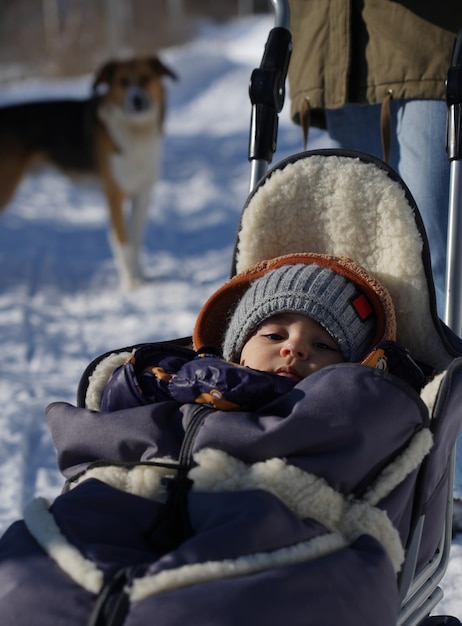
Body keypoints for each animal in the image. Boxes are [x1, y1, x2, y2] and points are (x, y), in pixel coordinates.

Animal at [0, 56, 177, 288]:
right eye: (122, 82)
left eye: (146, 78)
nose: (137, 100)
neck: (135, 133)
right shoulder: (114, 195)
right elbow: (124, 242)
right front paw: (131, 282)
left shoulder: (141, 193)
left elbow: (135, 241)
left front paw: (140, 276)